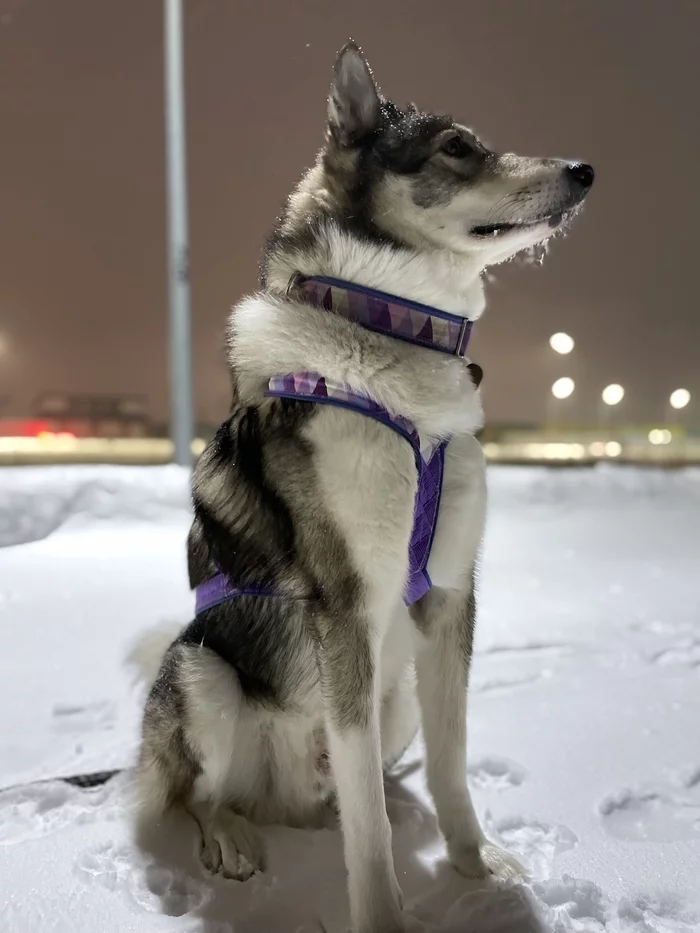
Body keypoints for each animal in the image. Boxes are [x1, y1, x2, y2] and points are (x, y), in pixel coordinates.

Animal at [130, 38, 592, 932]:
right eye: (457, 146)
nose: (585, 169)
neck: (389, 333)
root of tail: (289, 796)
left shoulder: (448, 593)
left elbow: (451, 762)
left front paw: (474, 865)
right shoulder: (347, 605)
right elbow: (370, 836)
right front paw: (384, 914)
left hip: (395, 688)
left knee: (365, 781)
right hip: (202, 672)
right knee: (201, 793)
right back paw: (231, 835)